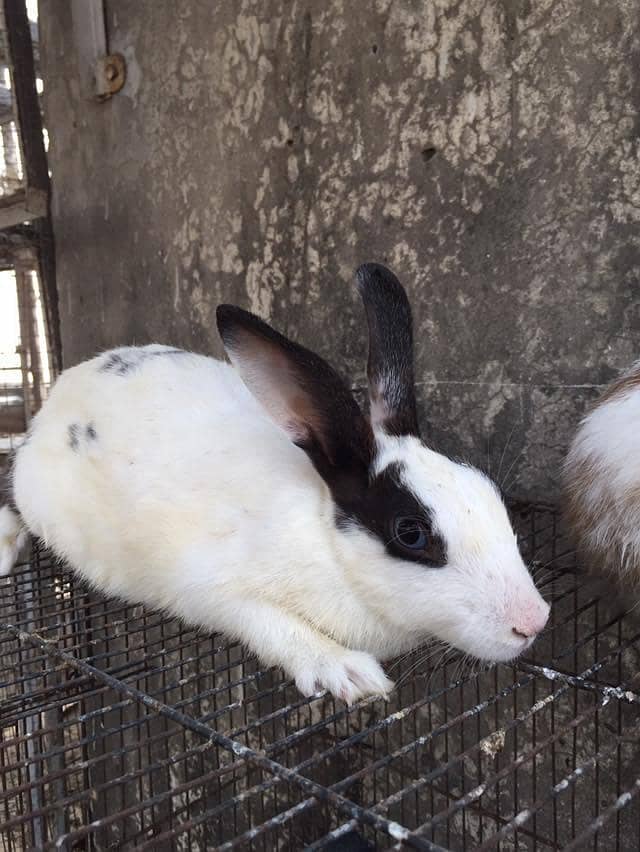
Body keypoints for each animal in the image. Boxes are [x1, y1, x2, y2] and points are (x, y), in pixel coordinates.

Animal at [0, 263, 549, 703]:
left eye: (489, 492)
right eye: (410, 533)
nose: (533, 622)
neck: (327, 544)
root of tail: (56, 398)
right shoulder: (210, 590)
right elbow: (273, 626)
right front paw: (348, 673)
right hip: (36, 491)